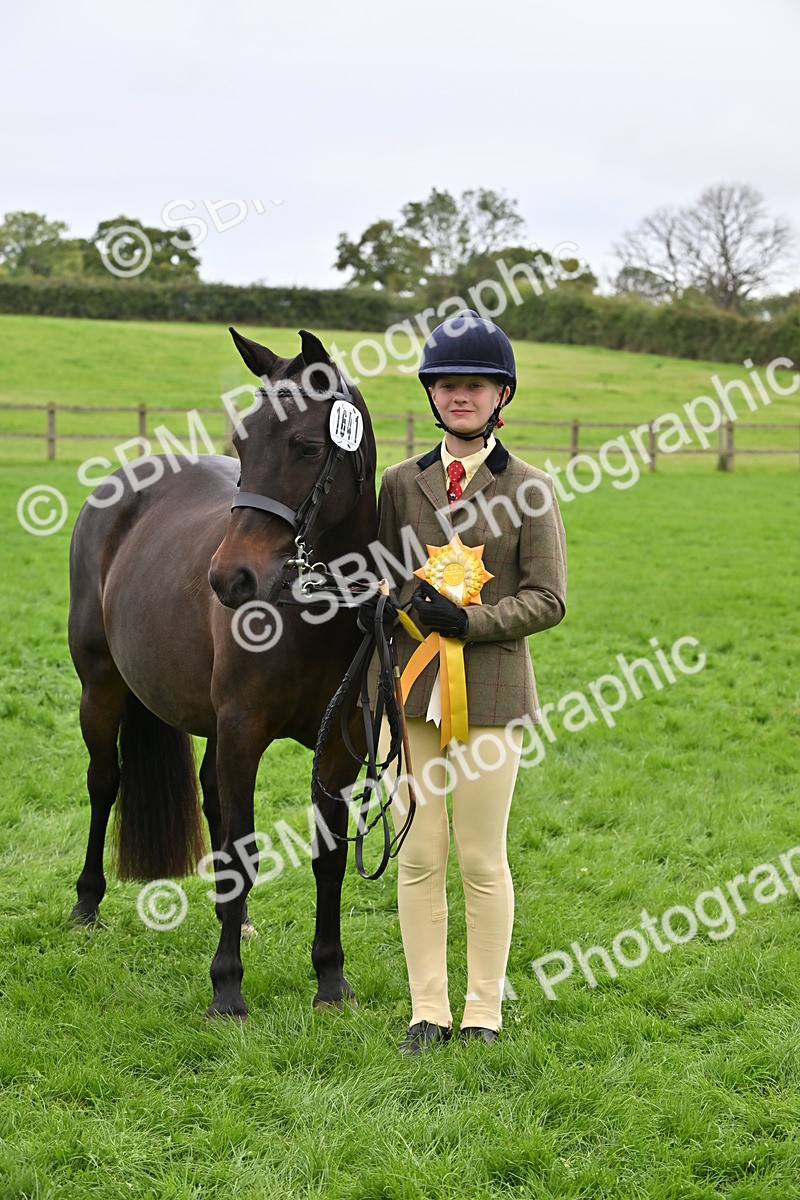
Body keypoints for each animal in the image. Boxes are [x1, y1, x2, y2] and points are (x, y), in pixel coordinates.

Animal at [67, 327, 378, 1018]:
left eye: (307, 445)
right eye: (241, 443)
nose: (231, 578)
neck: (309, 613)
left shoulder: (335, 750)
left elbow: (327, 858)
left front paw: (331, 978)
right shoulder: (242, 733)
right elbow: (242, 852)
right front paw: (227, 987)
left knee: (208, 796)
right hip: (100, 691)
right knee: (105, 782)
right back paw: (86, 903)